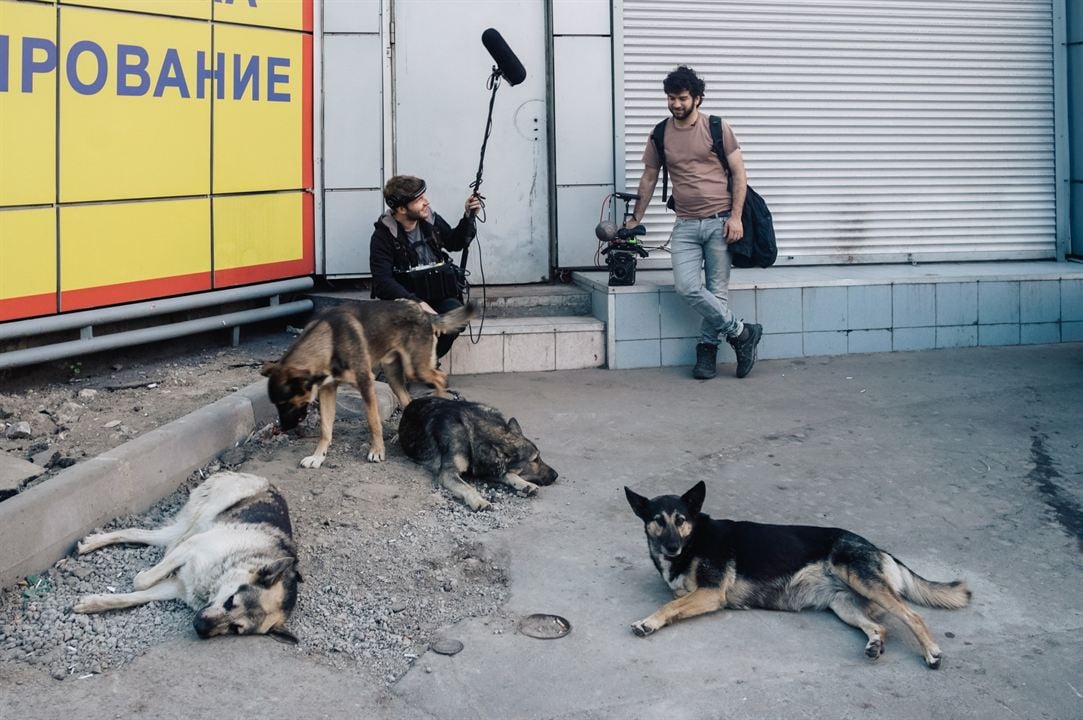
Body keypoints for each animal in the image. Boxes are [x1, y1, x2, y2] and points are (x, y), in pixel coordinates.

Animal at [74, 472, 298, 640]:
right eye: (231, 601)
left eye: (236, 628)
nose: (199, 627)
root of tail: (261, 478)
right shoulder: (192, 547)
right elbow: (142, 582)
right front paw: (140, 577)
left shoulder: (176, 587)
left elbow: (133, 597)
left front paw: (94, 604)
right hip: (199, 520)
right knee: (168, 539)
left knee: (140, 533)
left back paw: (91, 543)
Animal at [261, 298, 474, 463]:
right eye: (276, 404)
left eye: (286, 403)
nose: (283, 428)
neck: (329, 342)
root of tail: (423, 313)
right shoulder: (327, 390)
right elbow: (325, 428)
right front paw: (318, 457)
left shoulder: (366, 384)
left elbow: (373, 422)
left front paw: (377, 451)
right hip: (393, 376)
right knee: (408, 399)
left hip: (416, 369)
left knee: (440, 378)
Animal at [398, 396, 558, 508]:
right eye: (535, 460)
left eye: (539, 457)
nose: (556, 475)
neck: (472, 434)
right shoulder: (448, 473)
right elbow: (467, 487)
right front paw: (478, 500)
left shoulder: (488, 468)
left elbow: (509, 474)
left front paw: (524, 484)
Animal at [628, 480, 974, 666]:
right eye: (658, 520)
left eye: (681, 519)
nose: (672, 547)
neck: (694, 539)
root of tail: (878, 548)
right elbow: (676, 600)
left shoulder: (711, 593)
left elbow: (669, 605)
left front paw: (648, 622)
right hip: (843, 604)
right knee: (879, 627)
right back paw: (875, 645)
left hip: (862, 580)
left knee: (913, 616)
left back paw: (932, 652)